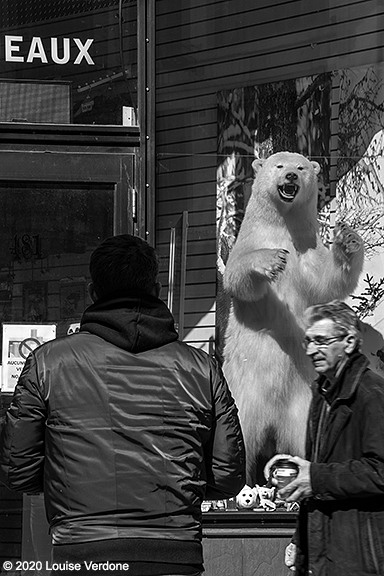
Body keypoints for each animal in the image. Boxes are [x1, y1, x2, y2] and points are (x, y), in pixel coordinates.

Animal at [222, 152, 364, 482]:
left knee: (303, 434)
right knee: (240, 434)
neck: (282, 226)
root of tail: (272, 421)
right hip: (242, 390)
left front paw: (349, 240)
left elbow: (327, 281)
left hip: (304, 399)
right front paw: (271, 260)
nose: (291, 177)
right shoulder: (248, 242)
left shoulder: (307, 250)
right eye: (278, 165)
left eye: (300, 167)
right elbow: (238, 277)